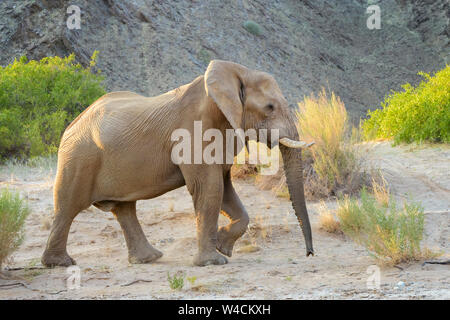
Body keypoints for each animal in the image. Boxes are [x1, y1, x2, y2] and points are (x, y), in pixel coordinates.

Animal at [42, 60, 314, 268]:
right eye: (270, 107)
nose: (309, 254)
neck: (234, 72)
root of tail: (71, 124)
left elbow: (223, 188)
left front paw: (223, 247)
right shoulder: (194, 133)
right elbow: (210, 188)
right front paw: (213, 262)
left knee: (124, 209)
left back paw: (148, 259)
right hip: (78, 158)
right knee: (68, 207)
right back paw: (60, 263)